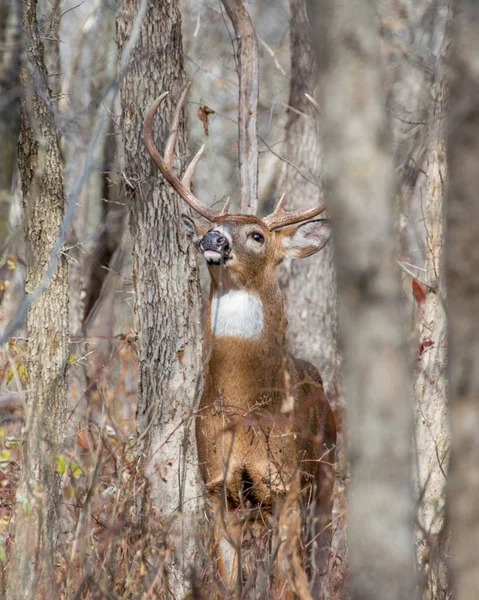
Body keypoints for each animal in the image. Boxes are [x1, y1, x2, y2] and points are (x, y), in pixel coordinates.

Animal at [144, 86, 336, 596]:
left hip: (326, 476)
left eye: (256, 235)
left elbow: (284, 582)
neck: (244, 406)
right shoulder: (218, 488)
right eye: (216, 225)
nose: (212, 237)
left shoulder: (285, 486)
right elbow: (228, 581)